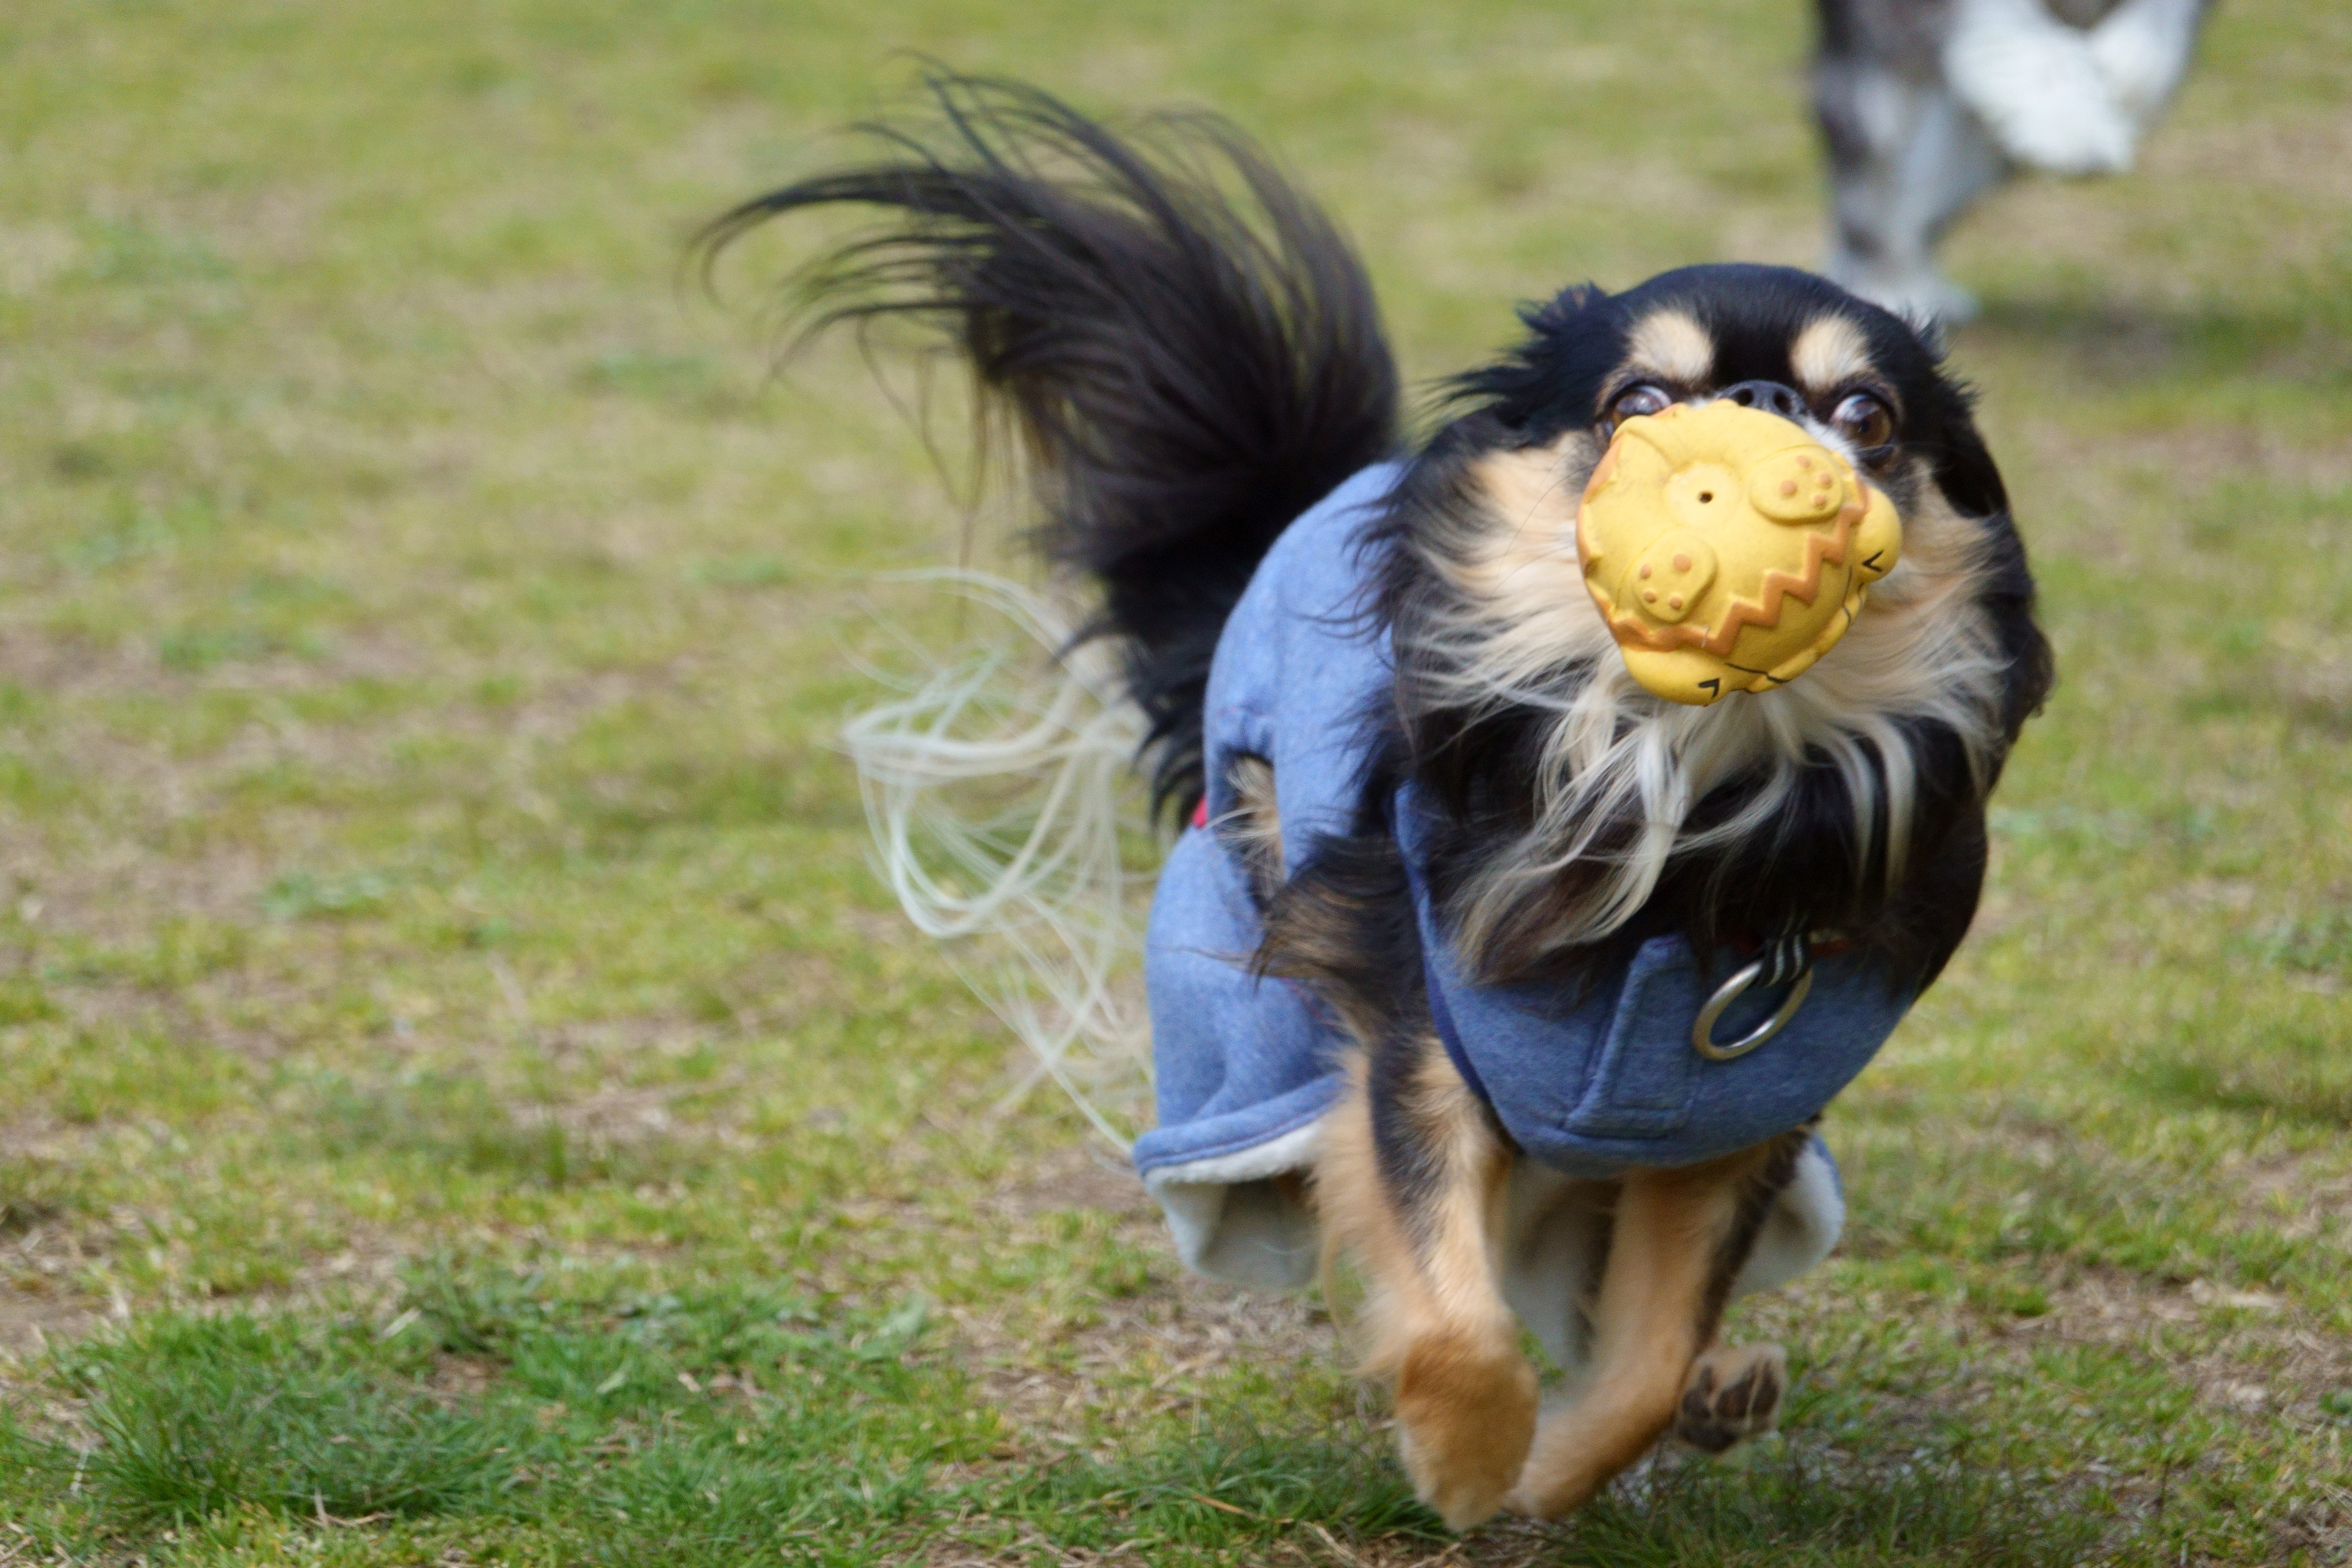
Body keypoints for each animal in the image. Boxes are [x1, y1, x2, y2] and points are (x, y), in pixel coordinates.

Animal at [1806, 0, 2210, 322]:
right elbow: (2010, 27)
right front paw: (2070, 125)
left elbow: (2160, 32)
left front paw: (2123, 78)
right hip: (1873, 98)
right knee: (1873, 186)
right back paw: (1884, 285)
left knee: (1929, 191)